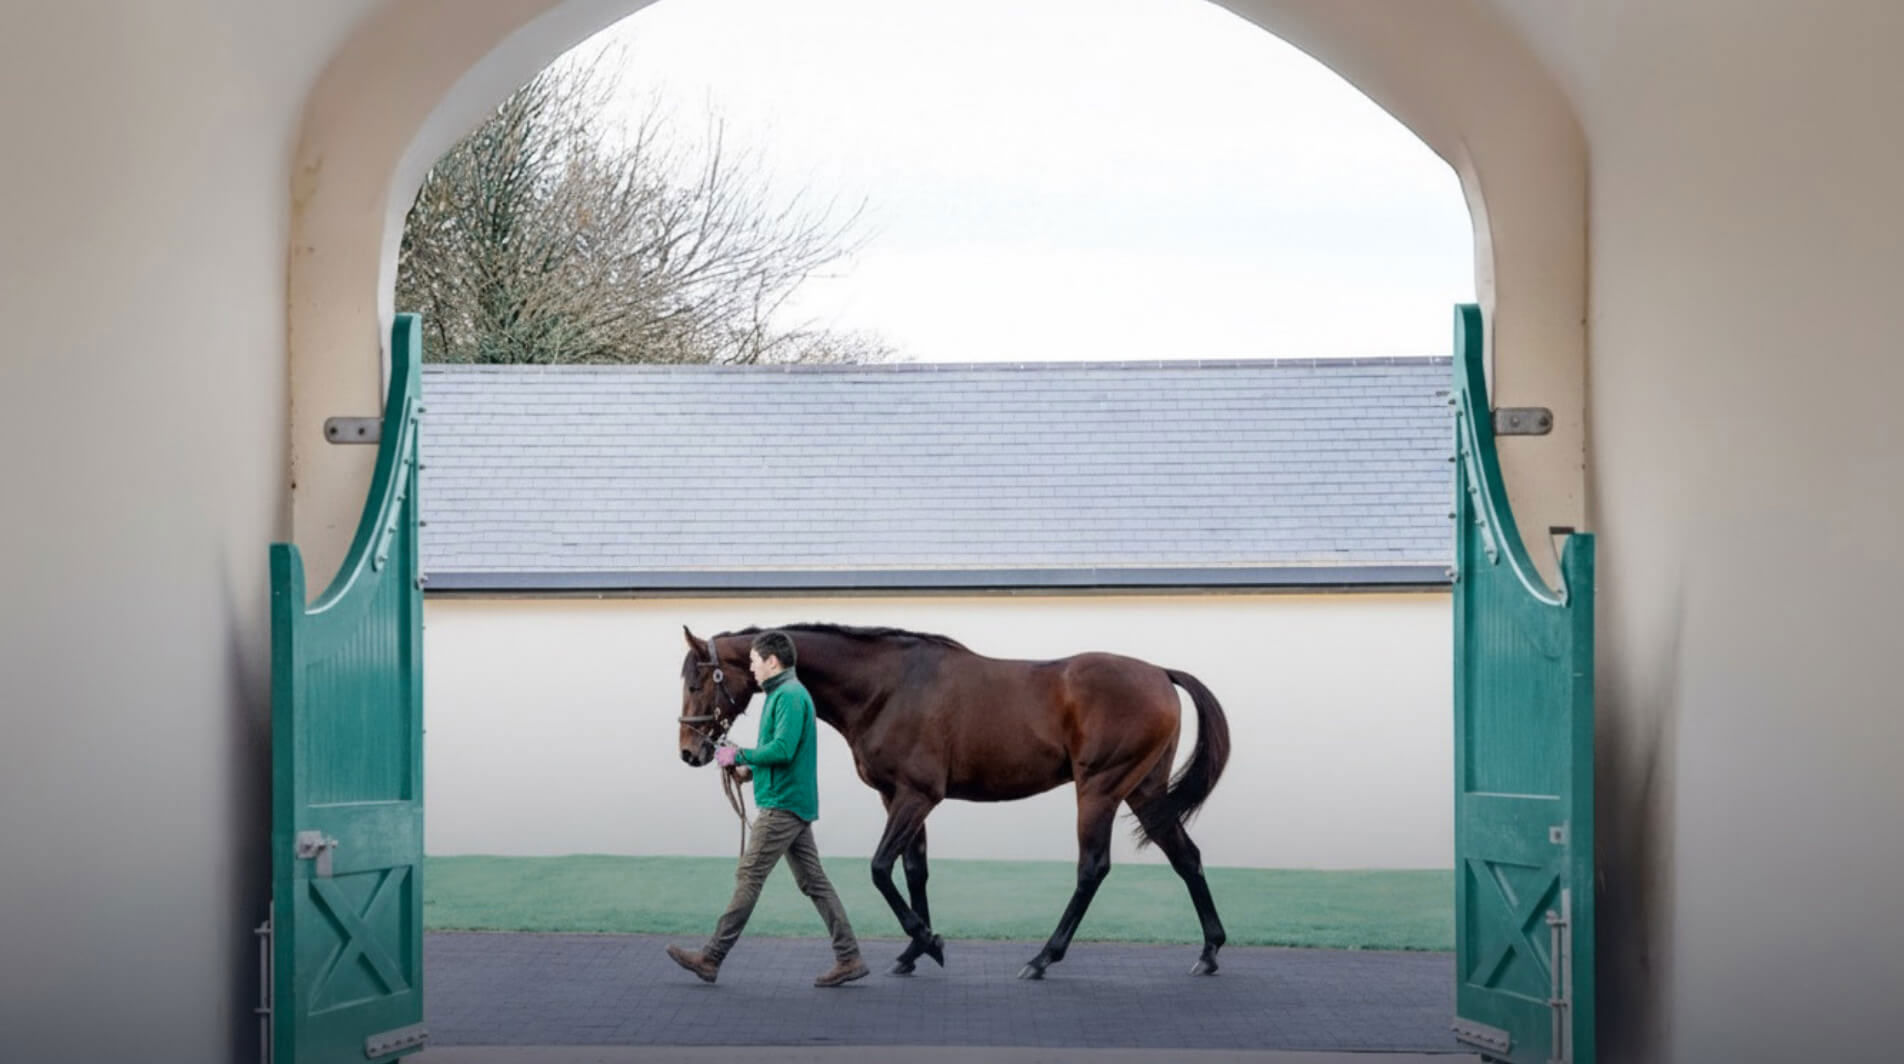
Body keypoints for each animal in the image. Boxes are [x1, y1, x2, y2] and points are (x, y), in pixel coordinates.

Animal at [676, 622, 1232, 980]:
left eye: (700, 680)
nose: (689, 751)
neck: (887, 686)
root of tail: (1159, 672)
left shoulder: (918, 795)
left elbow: (881, 868)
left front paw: (929, 942)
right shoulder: (897, 797)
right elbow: (914, 870)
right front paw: (911, 951)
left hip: (1100, 789)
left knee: (1092, 868)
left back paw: (1043, 958)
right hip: (1144, 790)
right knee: (1186, 857)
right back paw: (1209, 951)